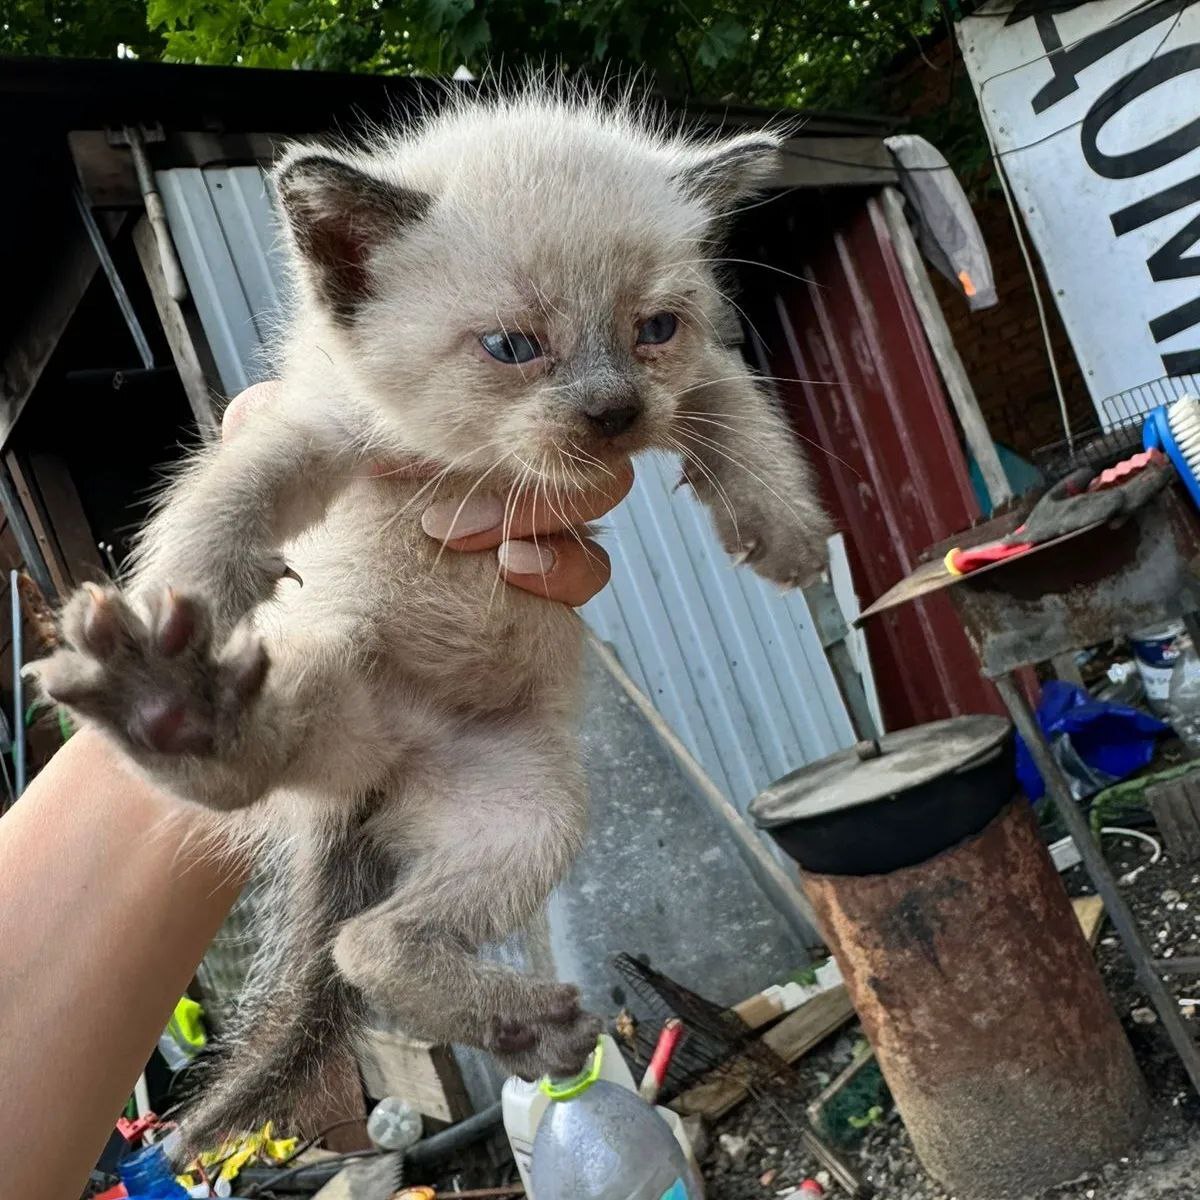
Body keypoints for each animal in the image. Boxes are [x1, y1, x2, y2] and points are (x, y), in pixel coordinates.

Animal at [32, 79, 830, 1147]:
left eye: (655, 329)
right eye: (512, 348)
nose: (615, 414)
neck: (473, 461)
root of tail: (388, 775)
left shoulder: (697, 379)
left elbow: (736, 412)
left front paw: (785, 533)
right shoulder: (313, 428)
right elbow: (224, 499)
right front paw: (178, 596)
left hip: (526, 815)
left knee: (368, 945)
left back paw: (528, 1029)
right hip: (330, 658)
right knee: (285, 827)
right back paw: (170, 697)